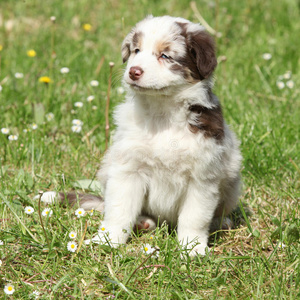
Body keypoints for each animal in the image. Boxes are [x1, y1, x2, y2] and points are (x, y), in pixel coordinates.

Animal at [44, 15, 241, 255]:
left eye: (165, 55)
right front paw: (107, 241)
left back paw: (221, 223)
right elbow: (119, 210)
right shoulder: (128, 169)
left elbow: (195, 217)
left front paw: (192, 249)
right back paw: (142, 222)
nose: (133, 71)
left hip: (232, 180)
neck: (163, 114)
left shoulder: (203, 176)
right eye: (136, 50)